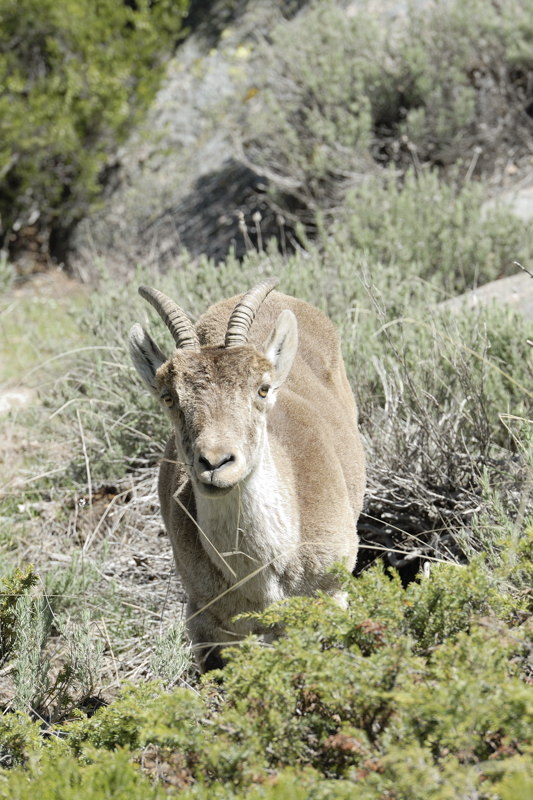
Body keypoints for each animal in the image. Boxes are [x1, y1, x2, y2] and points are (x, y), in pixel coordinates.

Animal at [128, 278, 366, 672]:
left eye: (262, 388)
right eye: (169, 397)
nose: (215, 463)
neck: (262, 574)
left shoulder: (331, 596)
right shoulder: (207, 624)